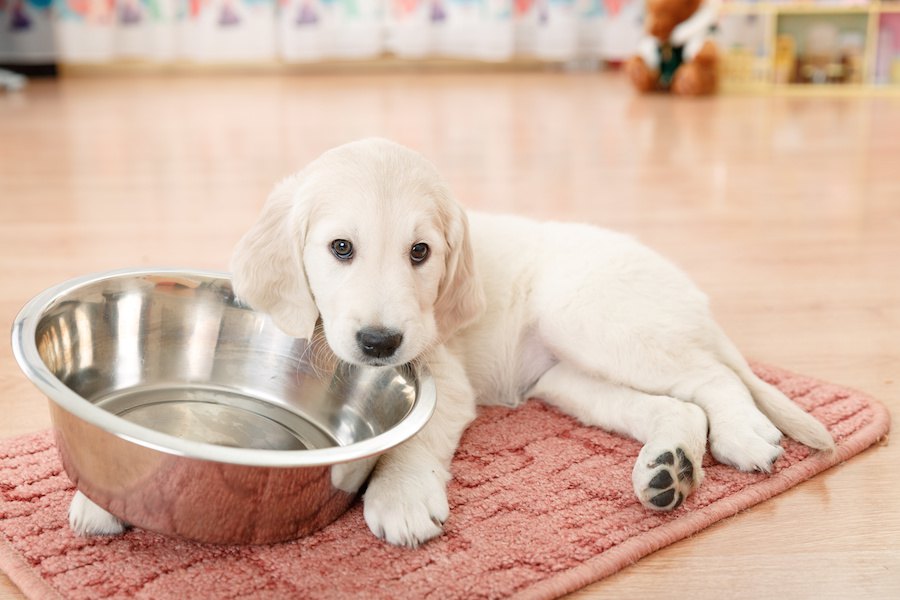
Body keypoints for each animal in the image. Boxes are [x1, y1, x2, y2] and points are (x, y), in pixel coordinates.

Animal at [70, 138, 836, 548]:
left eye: (421, 253)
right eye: (340, 248)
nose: (380, 342)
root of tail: (690, 295)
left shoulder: (442, 376)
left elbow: (413, 439)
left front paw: (402, 498)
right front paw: (106, 493)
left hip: (593, 316)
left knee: (713, 378)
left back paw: (743, 434)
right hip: (566, 381)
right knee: (676, 406)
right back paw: (668, 470)